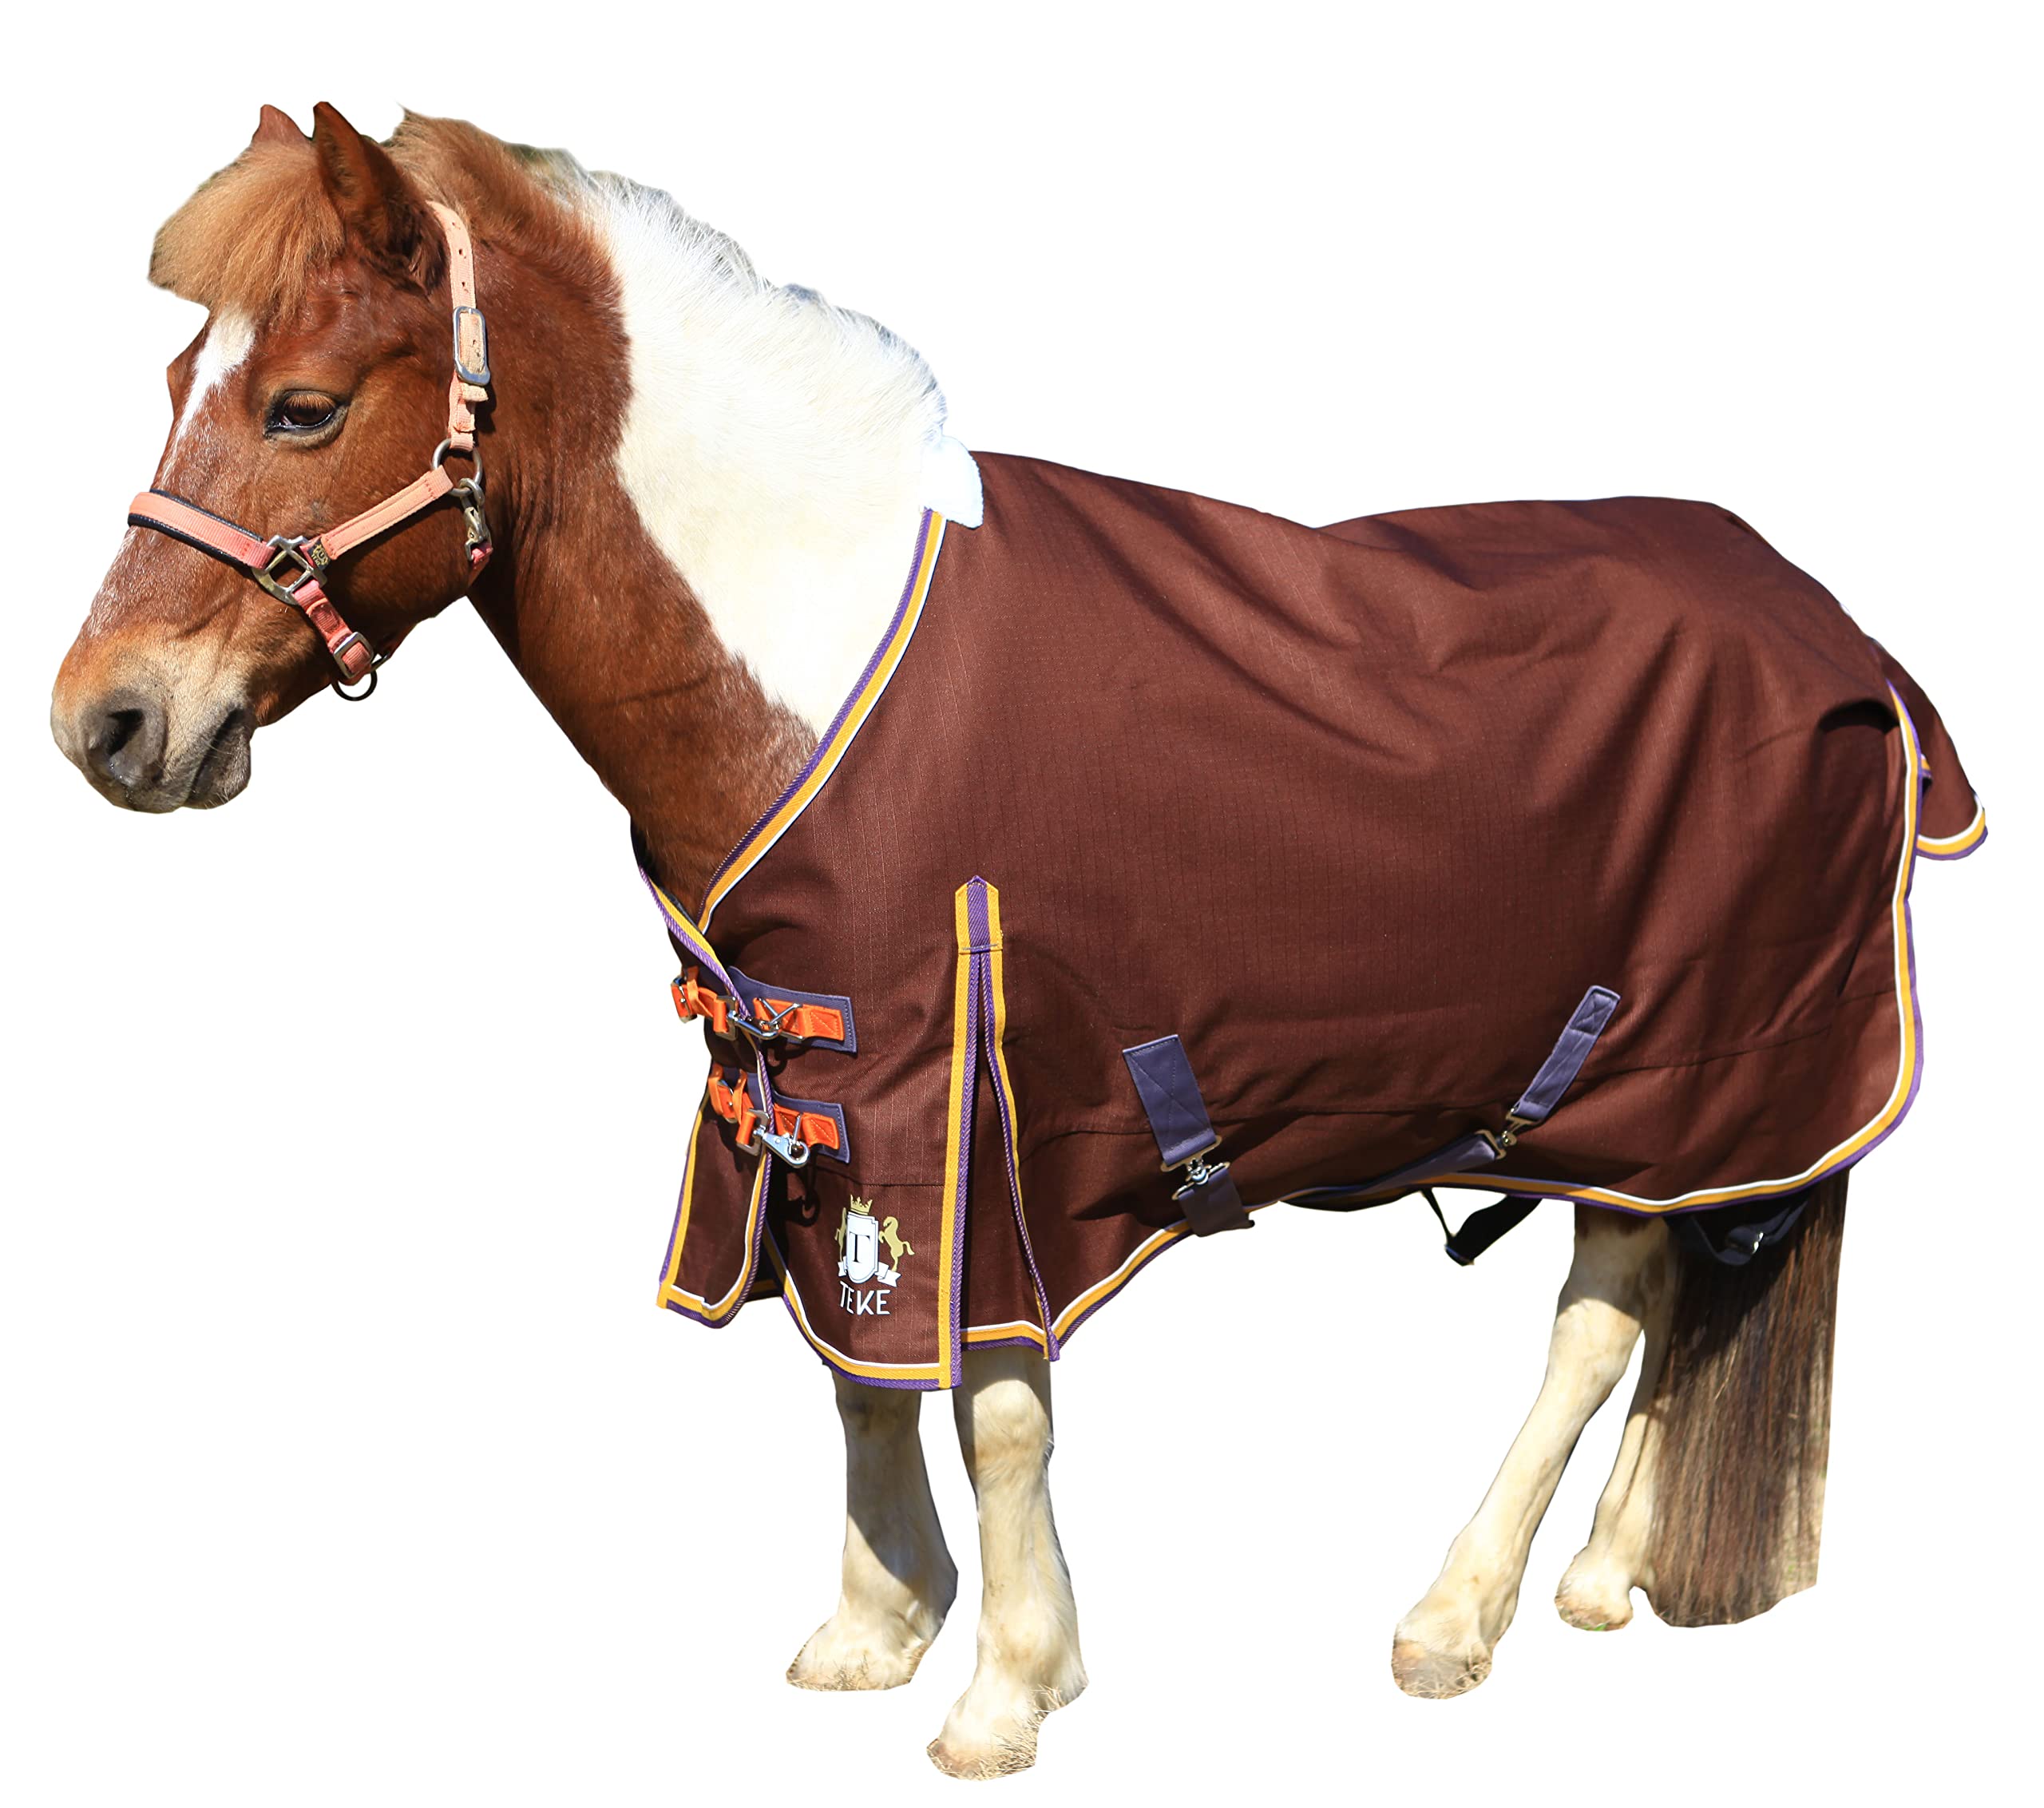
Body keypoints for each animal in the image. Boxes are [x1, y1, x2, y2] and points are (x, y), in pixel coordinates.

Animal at [48, 104, 1984, 1778]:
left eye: (302, 407)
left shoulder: (980, 1091)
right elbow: (854, 1369)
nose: (107, 723)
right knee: (1686, 1291)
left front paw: (1006, 1688)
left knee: (1601, 1312)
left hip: (1678, 1064)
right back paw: (1597, 1576)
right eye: (176, 382)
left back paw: (1456, 1612)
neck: (808, 642)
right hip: (1673, 1099)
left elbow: (988, 1396)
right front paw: (875, 1625)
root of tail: (1831, 627)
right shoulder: (807, 1072)